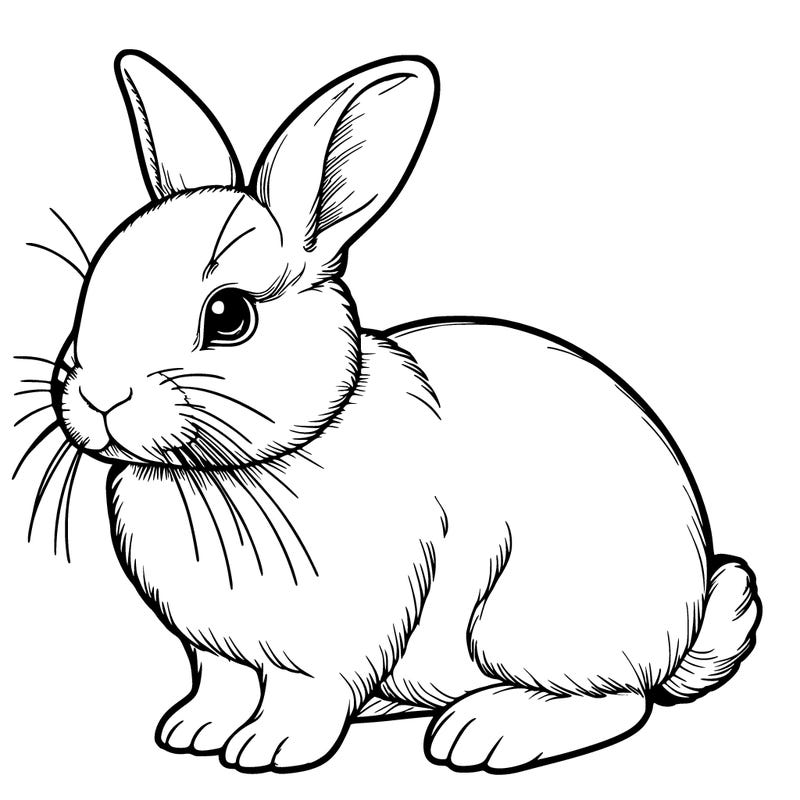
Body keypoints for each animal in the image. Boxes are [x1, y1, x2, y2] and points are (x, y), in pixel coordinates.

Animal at [27, 50, 760, 774]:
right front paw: (192, 731)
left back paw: (484, 733)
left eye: (229, 316)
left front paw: (269, 748)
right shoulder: (212, 647)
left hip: (527, 623)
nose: (100, 397)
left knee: (620, 701)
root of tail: (685, 622)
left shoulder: (332, 637)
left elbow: (304, 693)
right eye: (94, 284)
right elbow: (221, 683)